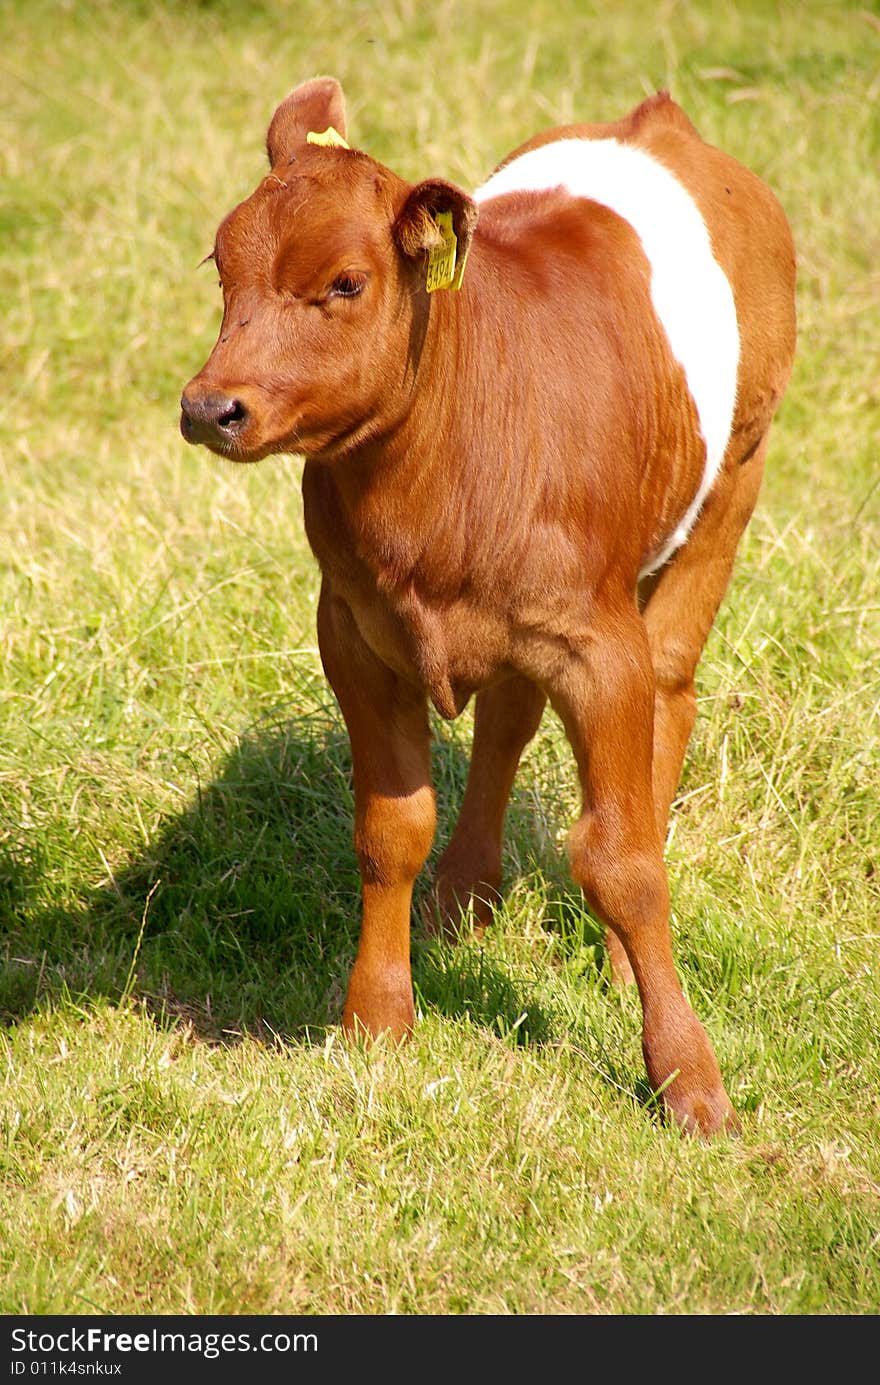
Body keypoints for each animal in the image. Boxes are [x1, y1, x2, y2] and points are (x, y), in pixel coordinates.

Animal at [180, 78, 798, 1135]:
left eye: (347, 283)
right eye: (224, 265)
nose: (210, 406)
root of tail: (661, 120)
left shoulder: (600, 643)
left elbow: (622, 860)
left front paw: (689, 1079)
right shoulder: (353, 631)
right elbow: (390, 831)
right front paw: (377, 1017)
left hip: (730, 490)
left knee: (671, 694)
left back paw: (610, 955)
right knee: (510, 715)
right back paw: (463, 897)